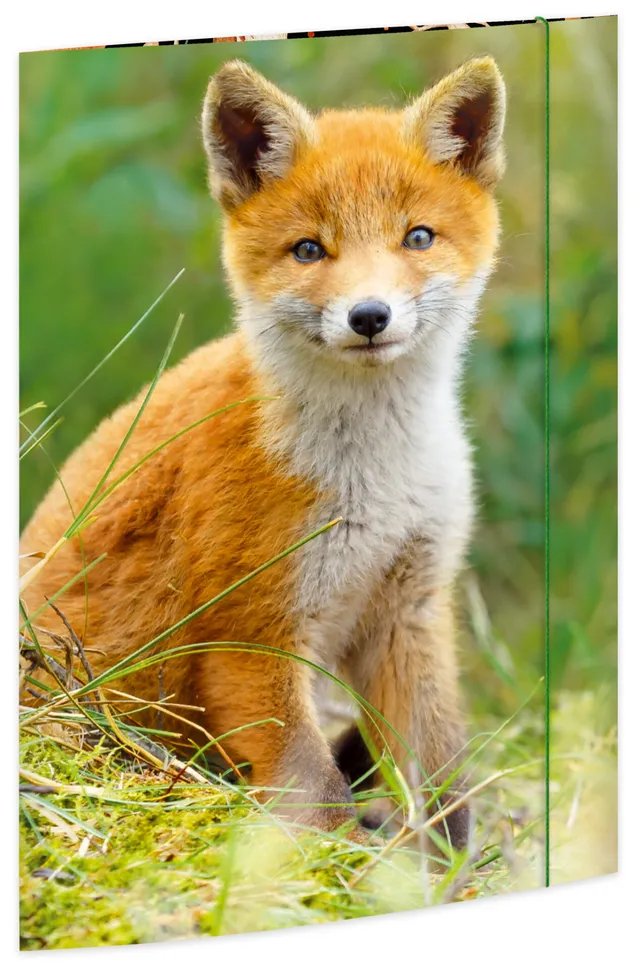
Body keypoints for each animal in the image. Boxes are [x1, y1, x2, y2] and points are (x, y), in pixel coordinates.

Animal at [20, 56, 506, 847]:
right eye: (309, 249)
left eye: (418, 237)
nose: (369, 316)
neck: (376, 477)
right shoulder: (251, 628)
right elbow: (318, 789)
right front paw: (324, 866)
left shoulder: (409, 606)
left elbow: (440, 779)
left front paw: (450, 866)